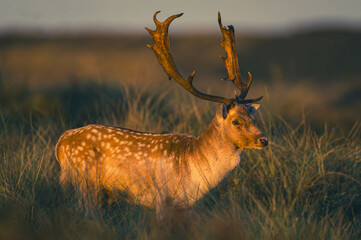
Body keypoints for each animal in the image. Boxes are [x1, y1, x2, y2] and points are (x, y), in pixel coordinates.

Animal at [55, 12, 268, 220]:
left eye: (253, 118)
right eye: (236, 121)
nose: (264, 140)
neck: (194, 172)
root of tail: (61, 142)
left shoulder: (185, 205)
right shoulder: (164, 198)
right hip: (86, 181)